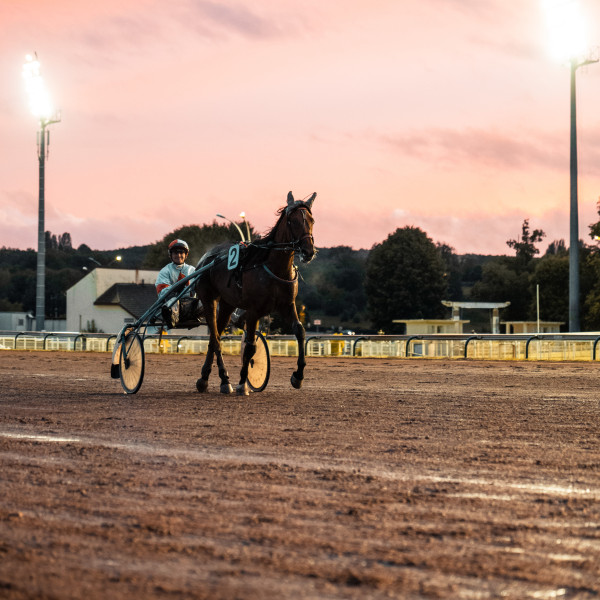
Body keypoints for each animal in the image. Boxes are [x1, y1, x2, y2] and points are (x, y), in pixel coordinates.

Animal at [193, 192, 316, 396]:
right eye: (293, 221)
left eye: (312, 220)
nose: (308, 251)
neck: (274, 268)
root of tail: (206, 258)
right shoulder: (253, 310)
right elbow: (250, 346)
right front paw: (243, 383)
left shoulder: (287, 305)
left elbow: (300, 331)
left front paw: (298, 376)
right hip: (209, 298)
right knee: (216, 338)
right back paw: (224, 380)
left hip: (227, 304)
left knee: (214, 336)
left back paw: (206, 379)